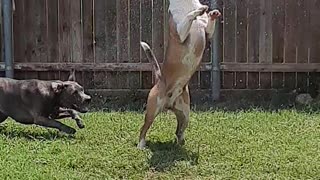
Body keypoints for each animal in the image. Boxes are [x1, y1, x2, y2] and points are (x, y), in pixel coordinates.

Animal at [139, 0, 221, 149]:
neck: (187, 4)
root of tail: (159, 79)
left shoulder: (207, 32)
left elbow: (209, 27)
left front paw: (213, 13)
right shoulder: (180, 33)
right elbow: (189, 16)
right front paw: (200, 10)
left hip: (185, 114)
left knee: (178, 131)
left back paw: (181, 143)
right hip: (152, 110)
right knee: (143, 129)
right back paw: (141, 145)